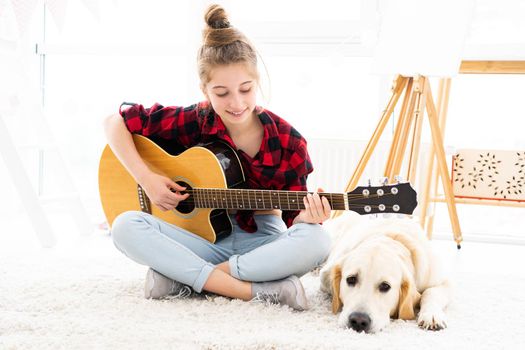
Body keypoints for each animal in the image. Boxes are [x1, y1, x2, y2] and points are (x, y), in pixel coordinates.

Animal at [320, 212, 450, 332]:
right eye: (351, 279)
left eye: (385, 286)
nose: (358, 320)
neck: (392, 238)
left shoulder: (444, 281)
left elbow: (430, 292)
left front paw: (432, 315)